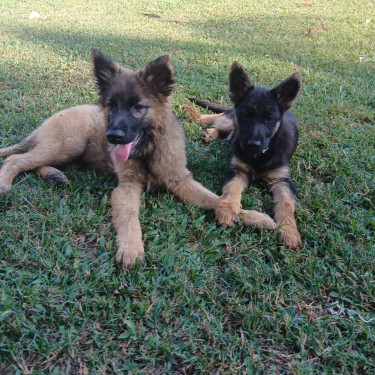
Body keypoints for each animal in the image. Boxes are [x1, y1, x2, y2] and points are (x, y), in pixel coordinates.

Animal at [0, 51, 276, 268]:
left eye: (138, 107)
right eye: (111, 105)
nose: (113, 136)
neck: (148, 150)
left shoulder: (180, 181)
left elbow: (215, 199)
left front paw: (251, 216)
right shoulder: (127, 186)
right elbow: (130, 216)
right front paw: (132, 248)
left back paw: (55, 175)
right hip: (68, 144)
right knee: (16, 159)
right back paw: (6, 182)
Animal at [184, 61, 302, 250]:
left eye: (269, 118)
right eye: (245, 115)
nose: (252, 144)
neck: (259, 157)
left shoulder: (282, 180)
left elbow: (286, 204)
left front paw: (288, 230)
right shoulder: (238, 171)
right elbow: (231, 189)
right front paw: (227, 209)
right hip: (230, 120)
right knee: (217, 119)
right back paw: (207, 127)